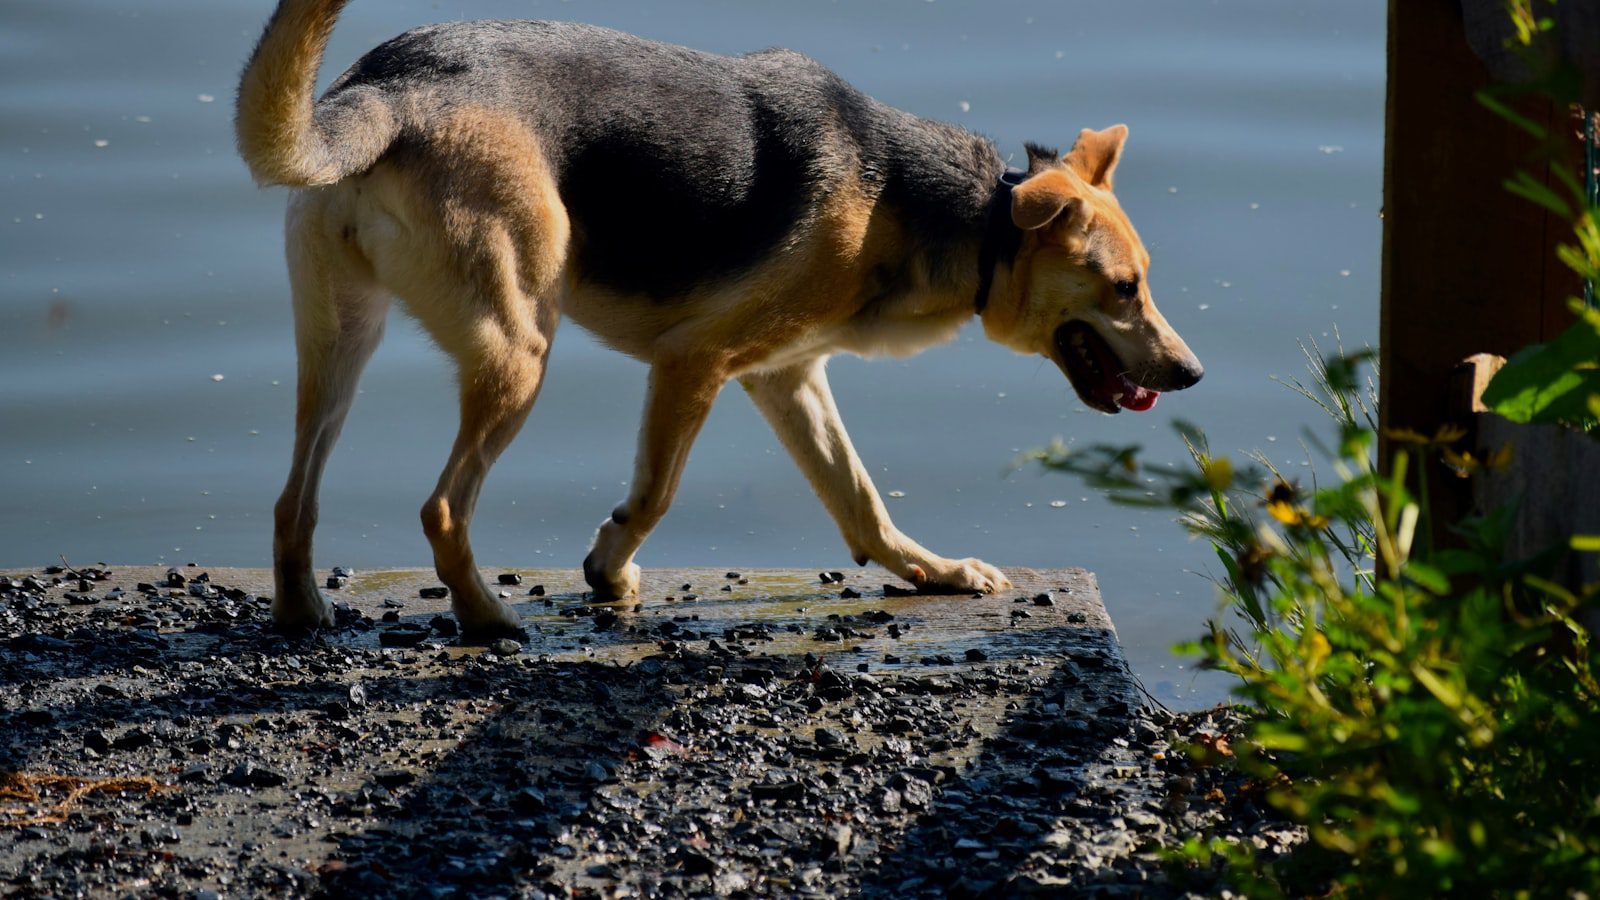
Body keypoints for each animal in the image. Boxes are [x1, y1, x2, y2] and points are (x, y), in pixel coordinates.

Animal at [233, 1, 1203, 630]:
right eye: (1125, 289)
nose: (1192, 374)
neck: (961, 217)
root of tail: (389, 89)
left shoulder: (788, 377)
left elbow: (860, 503)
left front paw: (933, 573)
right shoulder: (694, 363)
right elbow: (656, 495)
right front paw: (608, 569)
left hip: (339, 343)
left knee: (291, 500)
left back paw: (303, 614)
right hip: (518, 352)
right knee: (441, 509)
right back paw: (492, 622)